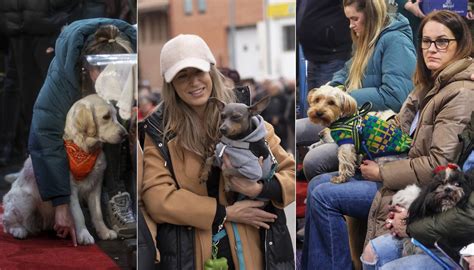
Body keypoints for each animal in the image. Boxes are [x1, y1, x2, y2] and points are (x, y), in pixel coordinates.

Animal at [2, 94, 128, 245]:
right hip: (25, 200)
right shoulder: (70, 189)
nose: (125, 134)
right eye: (106, 117)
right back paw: (18, 230)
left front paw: (104, 232)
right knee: (6, 221)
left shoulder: (95, 187)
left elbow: (97, 213)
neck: (84, 150)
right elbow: (79, 214)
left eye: (115, 115)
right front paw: (84, 234)